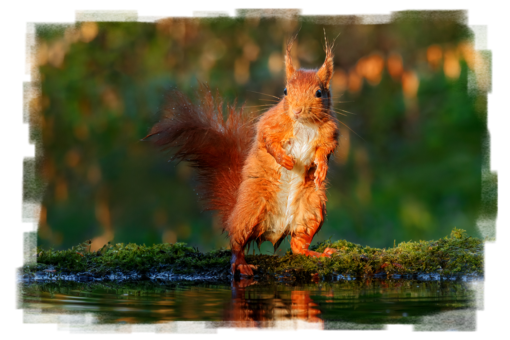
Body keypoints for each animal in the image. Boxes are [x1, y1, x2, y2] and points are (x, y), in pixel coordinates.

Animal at [144, 35, 338, 278]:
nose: (297, 111)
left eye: (319, 93)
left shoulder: (330, 133)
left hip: (312, 210)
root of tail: (276, 229)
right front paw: (284, 160)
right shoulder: (270, 123)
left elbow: (325, 150)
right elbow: (268, 141)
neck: (304, 124)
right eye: (285, 91)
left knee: (297, 245)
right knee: (237, 243)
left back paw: (314, 254)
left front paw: (321, 169)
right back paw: (240, 263)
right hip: (251, 209)